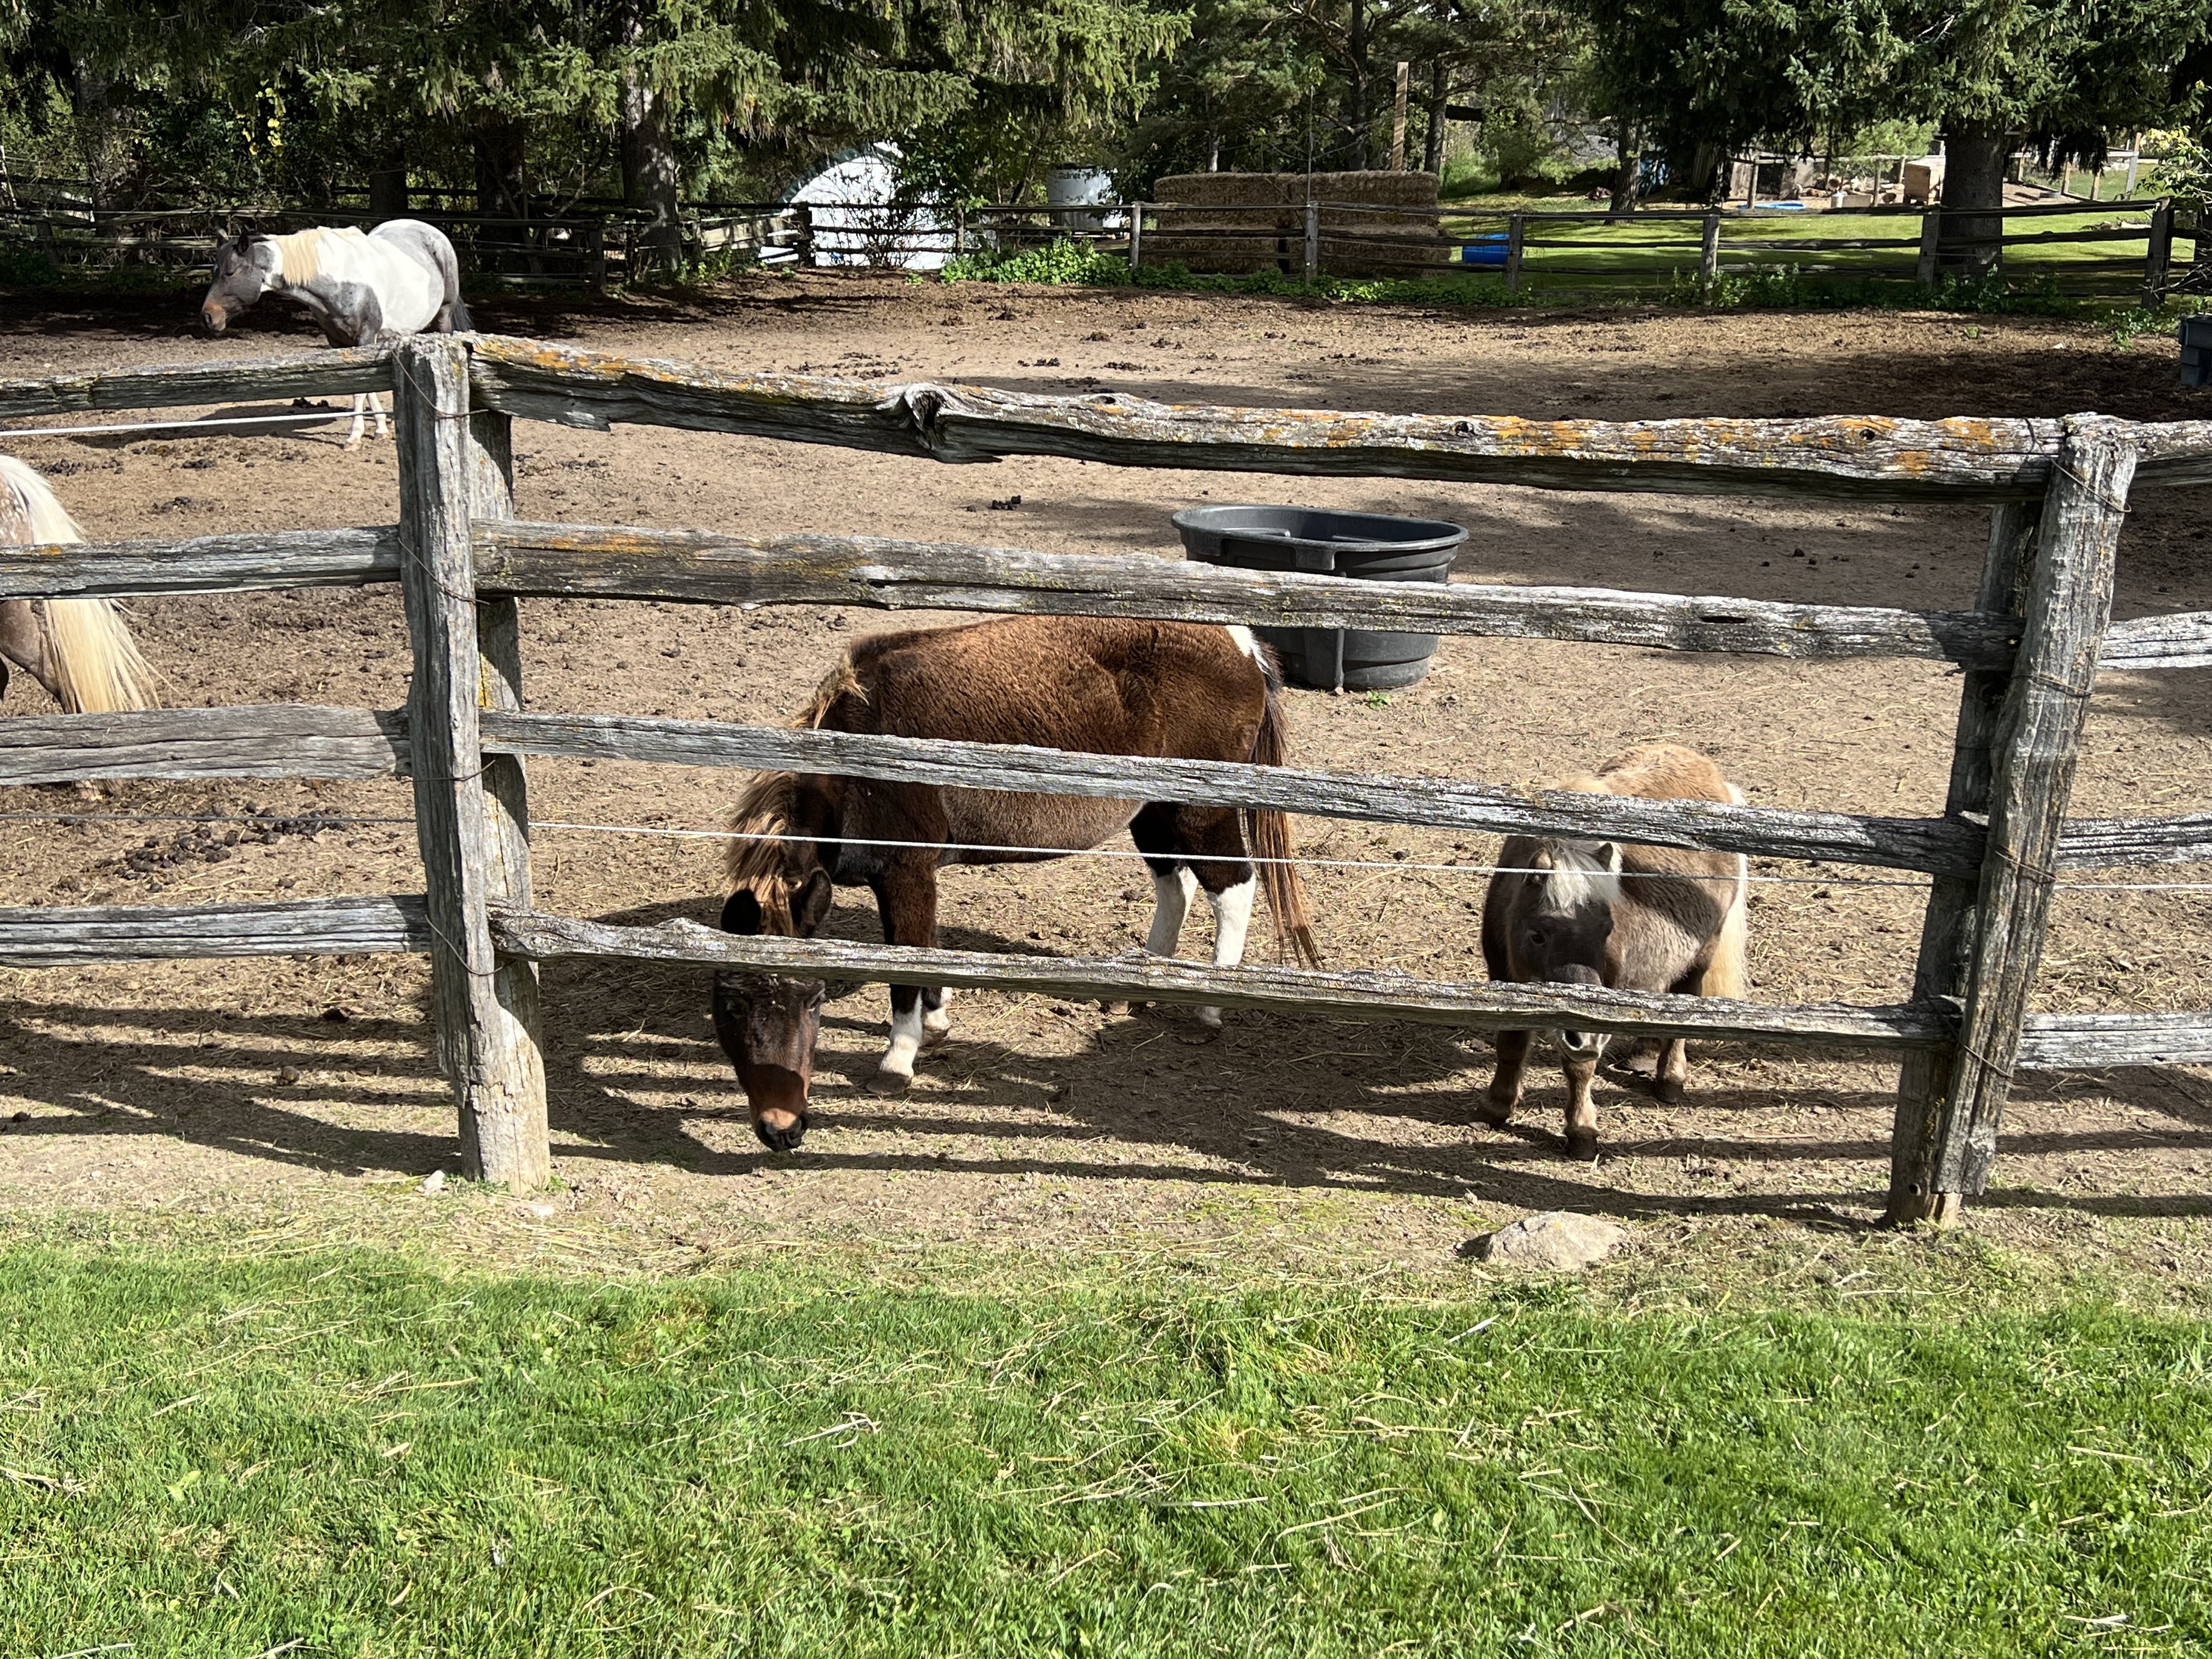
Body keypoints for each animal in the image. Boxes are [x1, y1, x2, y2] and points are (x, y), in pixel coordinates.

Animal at [198, 221, 471, 447]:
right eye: (214, 271)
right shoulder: (340, 343)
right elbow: (362, 387)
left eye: (230, 272)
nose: (208, 316)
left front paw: (354, 436)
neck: (339, 281)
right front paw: (380, 429)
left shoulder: (364, 338)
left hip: (443, 318)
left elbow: (361, 390)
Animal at [712, 615, 1321, 1151]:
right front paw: (937, 1022)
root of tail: (1241, 644)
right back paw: (1141, 987)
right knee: (1178, 888)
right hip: (1154, 813)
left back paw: (1209, 1009)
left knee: (1234, 889)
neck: (855, 759)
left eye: (814, 999)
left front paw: (898, 1060)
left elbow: (906, 962)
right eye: (731, 1006)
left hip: (1200, 814)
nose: (781, 1127)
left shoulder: (905, 872)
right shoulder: (913, 878)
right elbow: (925, 950)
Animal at [1479, 742, 1748, 1156]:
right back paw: (1643, 1053)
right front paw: (1497, 1106)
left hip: (1701, 956)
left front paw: (1581, 1131)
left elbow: (1580, 1067)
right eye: (1538, 934)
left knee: (1685, 1003)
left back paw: (1670, 1079)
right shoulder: (1504, 978)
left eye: (1607, 930)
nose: (1584, 1039)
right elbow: (1509, 1044)